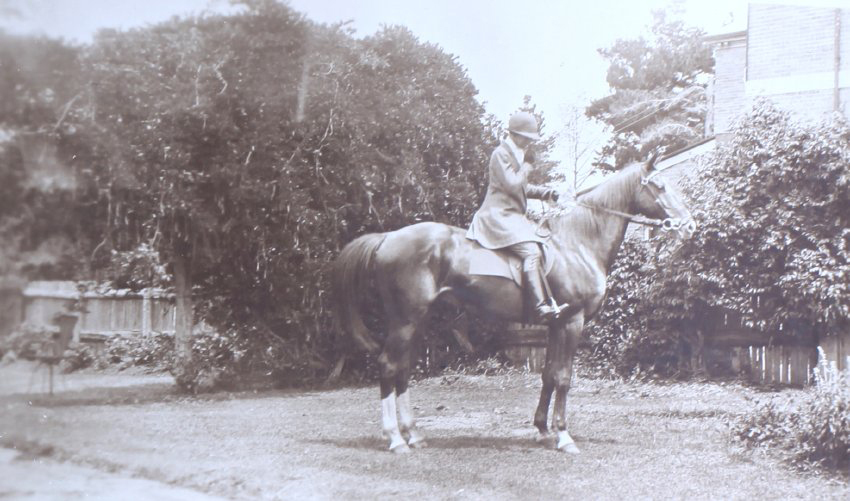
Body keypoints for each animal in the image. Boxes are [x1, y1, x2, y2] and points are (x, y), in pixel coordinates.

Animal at [331, 156, 695, 453]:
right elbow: (564, 377)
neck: (577, 243)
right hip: (405, 321)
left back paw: (414, 435)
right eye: (660, 186)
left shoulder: (555, 324)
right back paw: (395, 438)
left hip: (415, 322)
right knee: (388, 365)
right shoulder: (572, 322)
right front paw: (563, 436)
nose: (689, 224)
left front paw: (543, 430)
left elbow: (548, 375)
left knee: (403, 368)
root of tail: (387, 238)